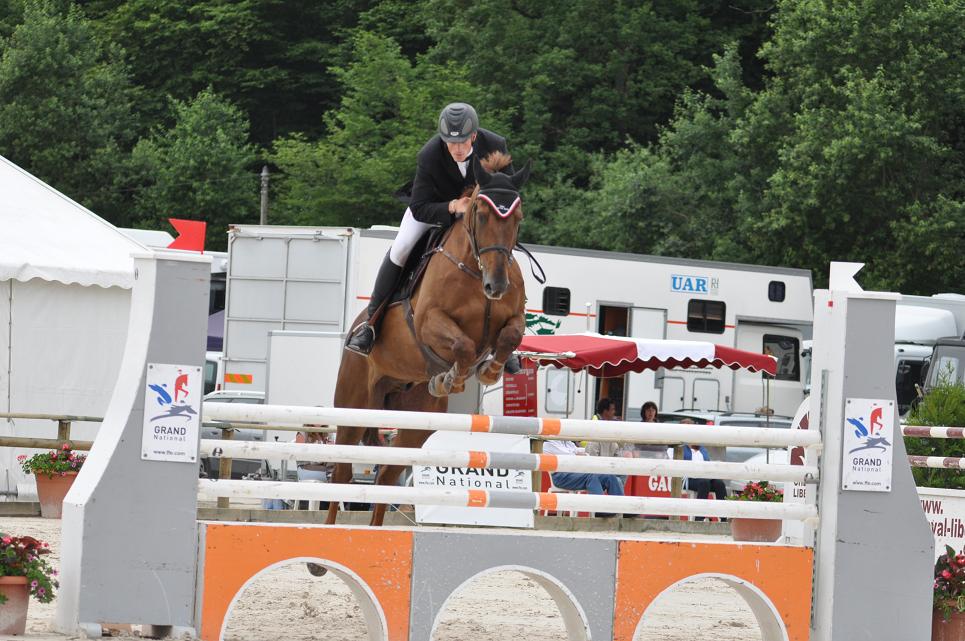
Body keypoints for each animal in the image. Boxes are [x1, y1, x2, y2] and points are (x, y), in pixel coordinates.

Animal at [328, 154, 532, 524]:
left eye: (517, 219)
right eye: (481, 214)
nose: (496, 286)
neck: (476, 269)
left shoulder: (513, 319)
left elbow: (508, 335)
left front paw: (489, 370)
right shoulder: (428, 322)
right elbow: (462, 344)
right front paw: (454, 377)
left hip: (416, 420)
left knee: (386, 477)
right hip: (353, 406)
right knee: (341, 475)